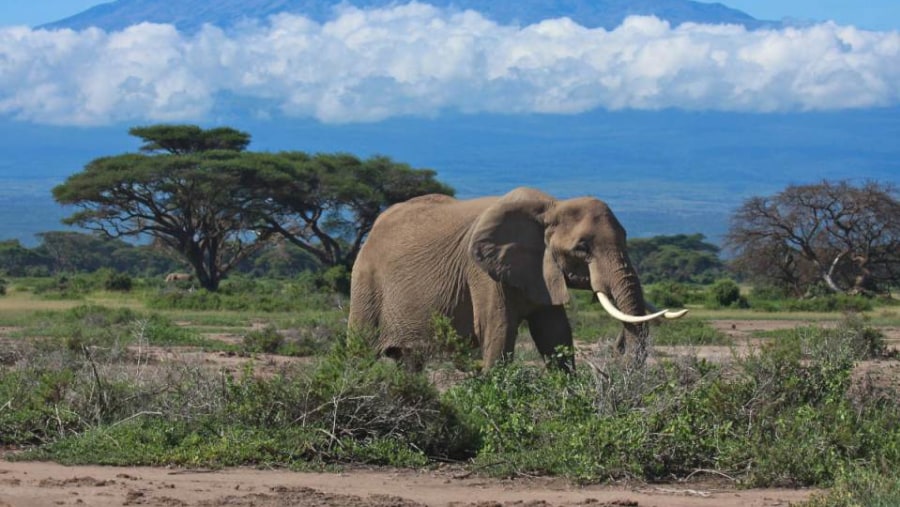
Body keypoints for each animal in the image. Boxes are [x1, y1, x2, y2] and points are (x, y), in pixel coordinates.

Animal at [348, 187, 684, 370]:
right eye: (582, 248)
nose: (616, 349)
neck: (551, 208)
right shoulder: (481, 272)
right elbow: (498, 331)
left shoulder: (541, 270)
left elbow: (555, 334)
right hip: (365, 281)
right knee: (360, 351)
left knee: (409, 362)